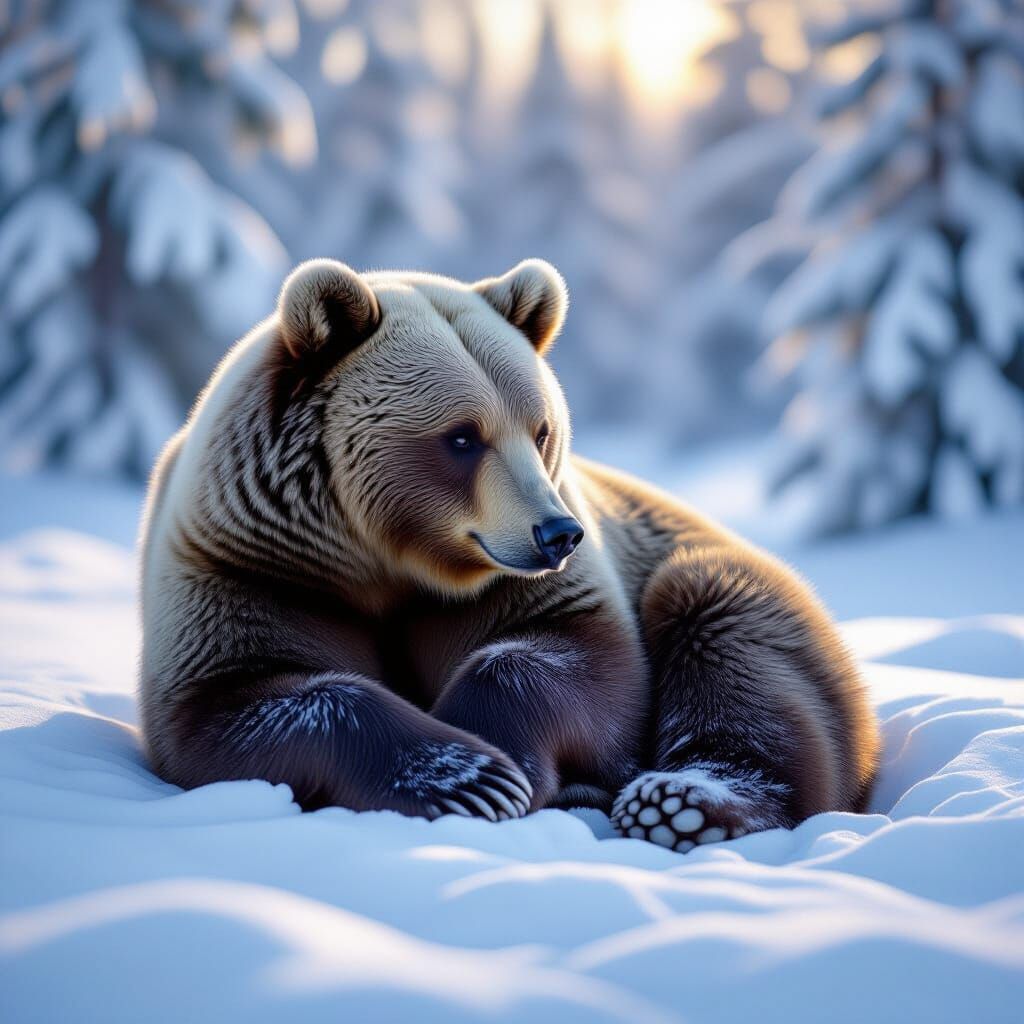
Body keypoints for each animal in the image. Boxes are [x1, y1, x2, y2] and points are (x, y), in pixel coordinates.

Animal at [139, 257, 880, 850]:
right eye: (462, 437)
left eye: (541, 428)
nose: (556, 533)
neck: (384, 561)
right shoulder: (253, 570)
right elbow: (233, 703)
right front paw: (467, 780)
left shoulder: (516, 583)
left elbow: (580, 657)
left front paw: (500, 764)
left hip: (738, 590)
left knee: (726, 633)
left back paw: (681, 802)